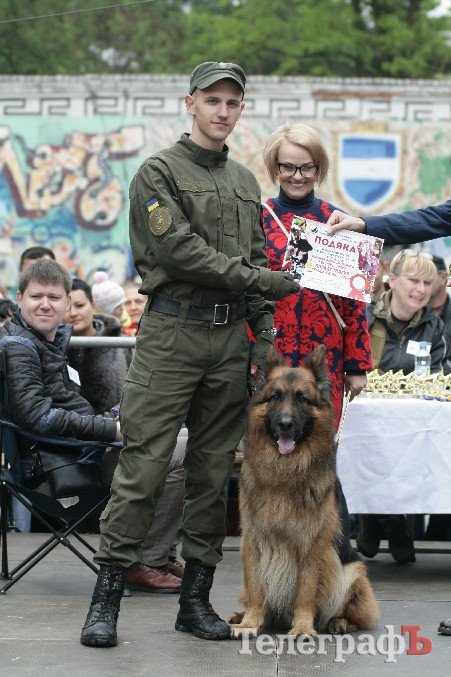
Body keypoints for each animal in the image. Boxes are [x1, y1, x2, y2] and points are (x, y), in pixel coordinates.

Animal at [230, 345, 380, 638]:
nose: (285, 424)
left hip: (353, 571)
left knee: (353, 612)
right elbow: (256, 589)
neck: (284, 472)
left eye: (302, 399)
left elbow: (306, 592)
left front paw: (301, 627)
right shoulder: (252, 541)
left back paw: (338, 623)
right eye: (275, 397)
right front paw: (250, 622)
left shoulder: (313, 546)